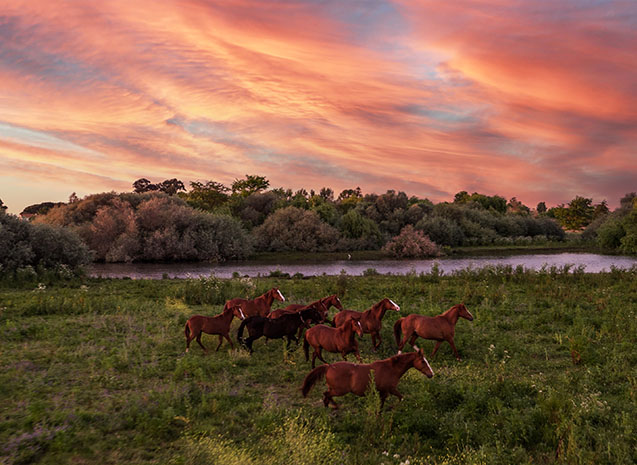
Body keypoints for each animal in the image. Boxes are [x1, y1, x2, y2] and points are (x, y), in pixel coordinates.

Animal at [302, 346, 432, 408]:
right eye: (423, 361)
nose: (431, 374)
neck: (391, 369)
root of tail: (329, 366)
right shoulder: (389, 390)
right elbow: (400, 398)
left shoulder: (383, 392)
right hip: (339, 390)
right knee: (326, 394)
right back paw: (333, 407)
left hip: (334, 389)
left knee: (327, 395)